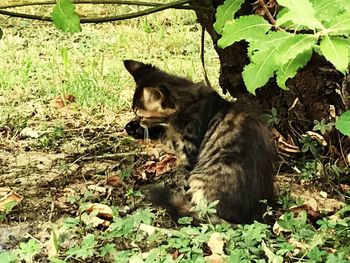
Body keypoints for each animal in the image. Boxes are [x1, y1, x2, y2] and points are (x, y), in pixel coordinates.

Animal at [124, 59, 274, 225]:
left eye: (141, 116)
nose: (135, 122)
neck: (188, 102)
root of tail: (250, 220)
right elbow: (163, 132)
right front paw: (134, 128)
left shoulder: (188, 148)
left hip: (199, 180)